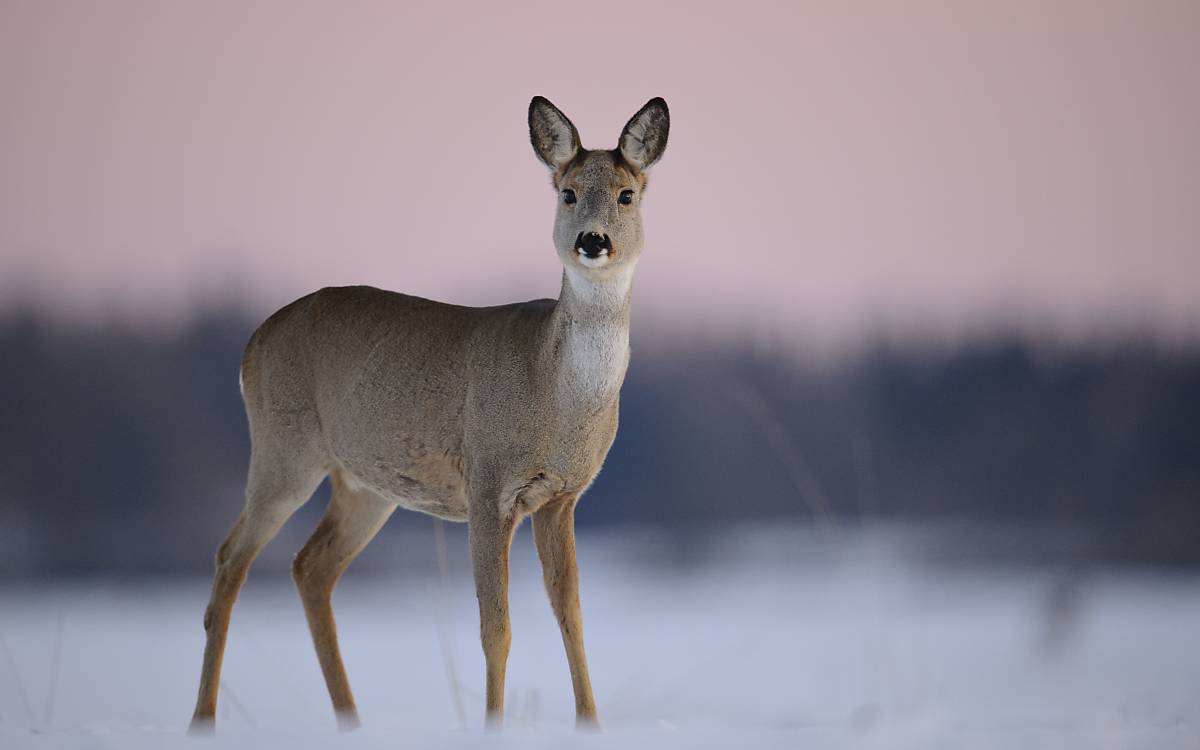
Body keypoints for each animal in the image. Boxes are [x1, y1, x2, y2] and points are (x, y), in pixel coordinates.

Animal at [192, 96, 672, 734]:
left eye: (627, 194)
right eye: (567, 193)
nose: (592, 242)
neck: (555, 392)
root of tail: (252, 344)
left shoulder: (563, 497)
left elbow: (572, 618)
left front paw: (589, 725)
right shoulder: (489, 484)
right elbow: (496, 628)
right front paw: (493, 727)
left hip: (366, 485)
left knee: (309, 566)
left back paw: (352, 721)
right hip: (282, 449)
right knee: (230, 560)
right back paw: (203, 720)